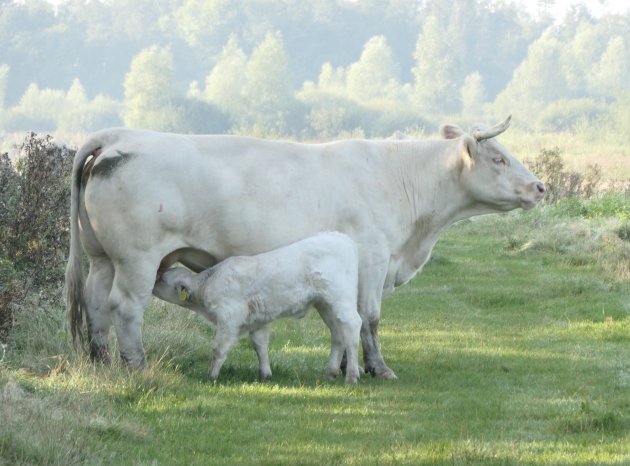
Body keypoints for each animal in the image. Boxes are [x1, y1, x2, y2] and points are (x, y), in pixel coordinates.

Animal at [151, 231, 362, 384]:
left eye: (162, 279)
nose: (152, 282)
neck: (208, 285)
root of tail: (341, 237)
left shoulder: (230, 318)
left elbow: (219, 348)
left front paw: (211, 375)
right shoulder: (258, 320)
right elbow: (260, 346)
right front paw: (265, 374)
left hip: (340, 298)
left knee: (352, 326)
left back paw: (352, 375)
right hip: (325, 304)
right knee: (338, 333)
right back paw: (331, 372)